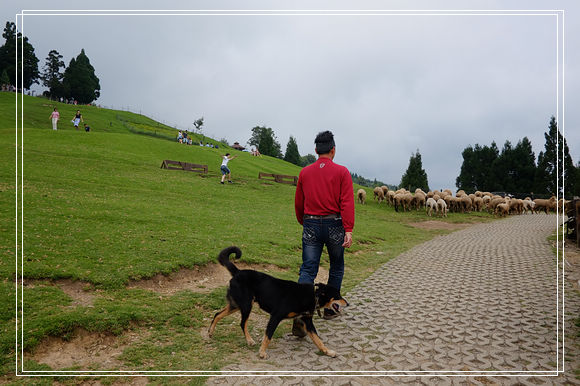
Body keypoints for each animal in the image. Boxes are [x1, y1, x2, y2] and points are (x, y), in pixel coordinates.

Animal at [208, 247, 346, 358]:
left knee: (217, 314)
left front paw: (327, 351)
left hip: (236, 304)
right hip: (246, 305)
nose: (347, 303)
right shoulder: (275, 317)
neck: (313, 295)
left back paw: (210, 332)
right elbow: (268, 336)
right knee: (242, 323)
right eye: (338, 296)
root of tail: (238, 272)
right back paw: (249, 340)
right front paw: (262, 352)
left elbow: (318, 340)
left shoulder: (307, 322)